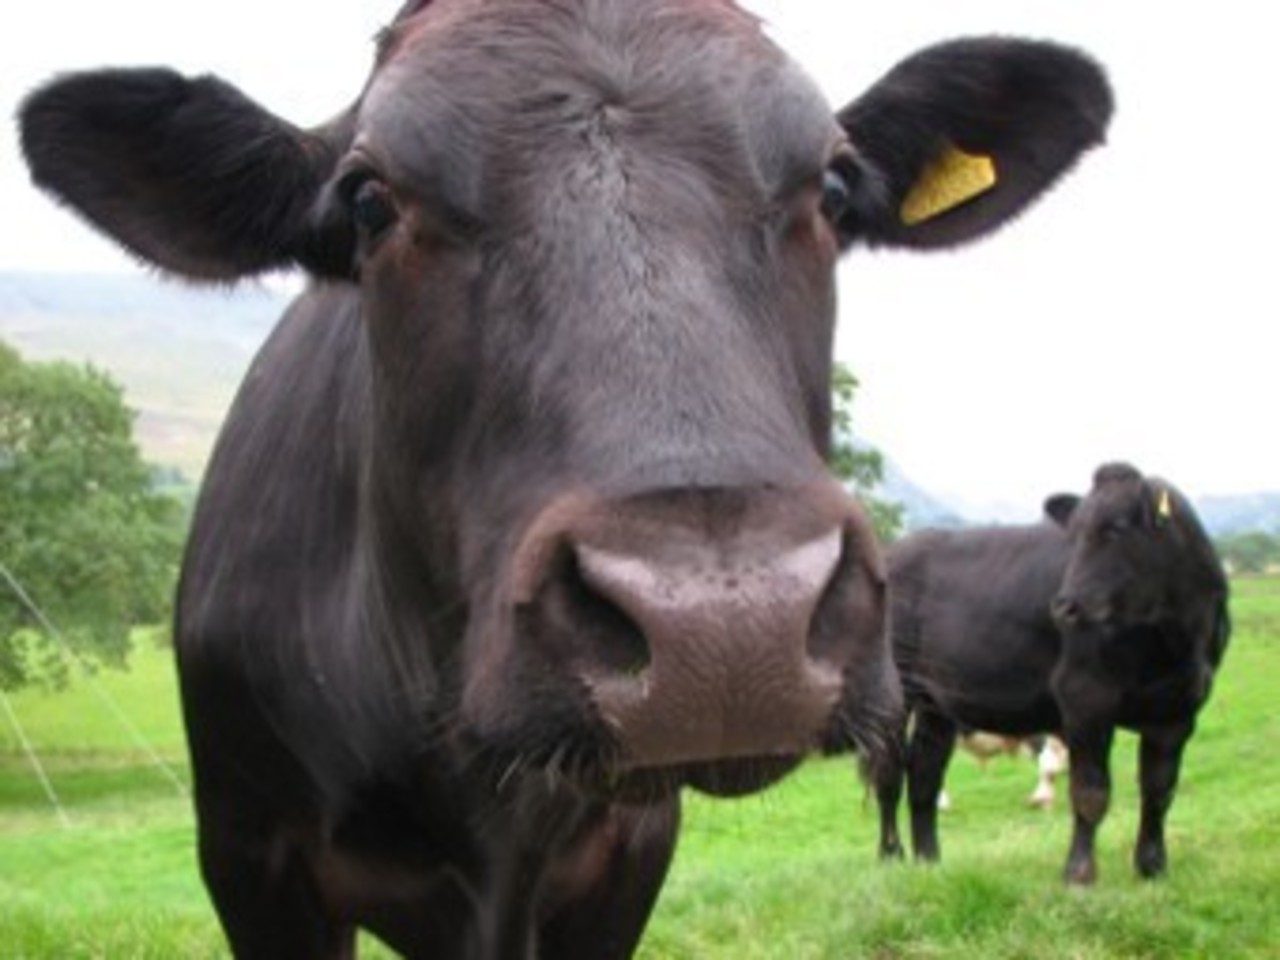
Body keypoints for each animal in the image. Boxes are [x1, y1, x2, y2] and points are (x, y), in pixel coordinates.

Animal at [875, 463, 1230, 885]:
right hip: (888, 694)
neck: (1172, 638)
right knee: (889, 774)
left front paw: (1152, 867)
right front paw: (1078, 874)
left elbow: (1160, 790)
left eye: (1117, 529)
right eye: (1073, 537)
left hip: (938, 700)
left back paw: (929, 863)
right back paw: (890, 859)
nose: (1063, 606)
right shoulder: (1085, 696)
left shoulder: (1180, 708)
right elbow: (1090, 791)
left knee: (923, 774)